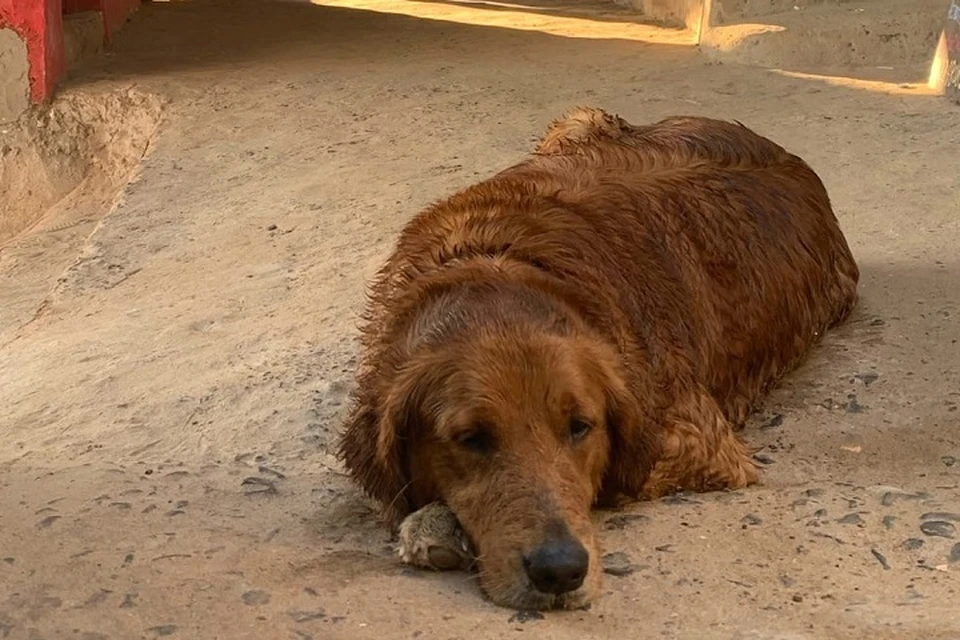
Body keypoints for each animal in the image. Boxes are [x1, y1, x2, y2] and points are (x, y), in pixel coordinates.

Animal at [340, 107, 864, 612]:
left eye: (581, 427)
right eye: (470, 439)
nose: (559, 571)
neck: (493, 260)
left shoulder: (701, 443)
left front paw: (434, 525)